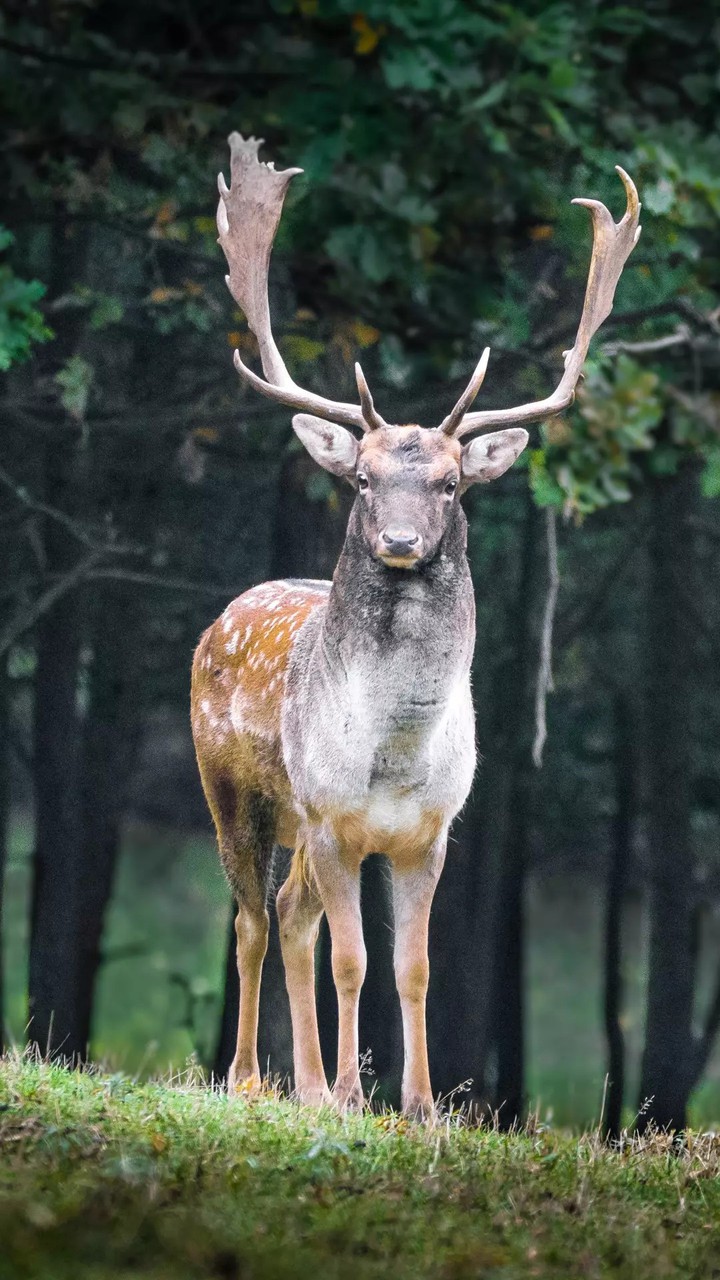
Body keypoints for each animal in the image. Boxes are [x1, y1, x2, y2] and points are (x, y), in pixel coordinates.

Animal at [191, 134, 640, 1117]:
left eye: (450, 483)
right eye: (362, 477)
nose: (399, 540)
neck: (394, 755)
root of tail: (220, 620)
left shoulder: (431, 832)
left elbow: (415, 967)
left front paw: (421, 1104)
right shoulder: (331, 819)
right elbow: (353, 961)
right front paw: (355, 1096)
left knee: (289, 917)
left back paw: (306, 1085)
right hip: (233, 791)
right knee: (251, 919)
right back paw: (251, 1079)